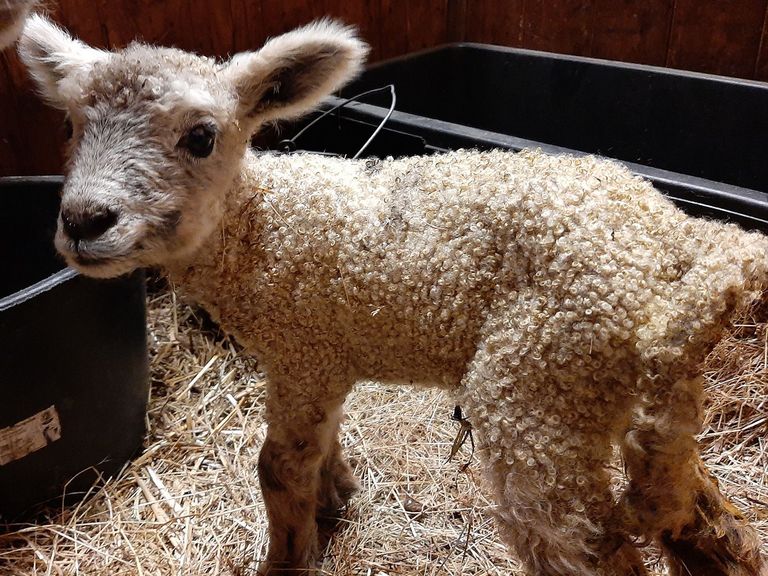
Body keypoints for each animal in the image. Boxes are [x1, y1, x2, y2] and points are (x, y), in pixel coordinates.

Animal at [18, 14, 768, 576]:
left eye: (201, 137)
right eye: (70, 127)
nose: (84, 221)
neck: (259, 228)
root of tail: (691, 248)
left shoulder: (304, 353)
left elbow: (278, 469)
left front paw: (288, 558)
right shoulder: (323, 361)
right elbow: (321, 447)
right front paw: (337, 501)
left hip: (541, 383)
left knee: (587, 545)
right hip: (638, 392)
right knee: (702, 515)